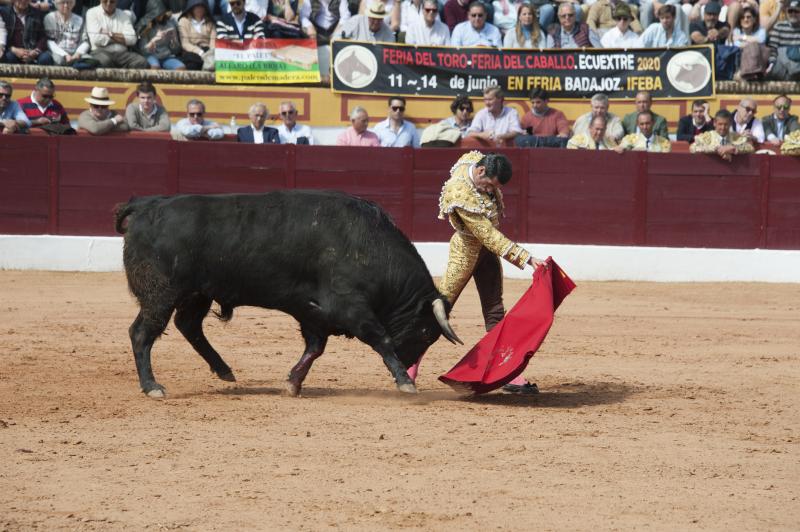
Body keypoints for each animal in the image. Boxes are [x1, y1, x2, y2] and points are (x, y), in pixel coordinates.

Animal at [114, 189, 462, 396]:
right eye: (426, 332)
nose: (411, 366)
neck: (372, 248)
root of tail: (147, 205)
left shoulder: (314, 313)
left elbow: (315, 348)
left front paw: (293, 383)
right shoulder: (349, 306)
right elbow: (381, 339)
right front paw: (405, 383)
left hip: (197, 293)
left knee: (188, 325)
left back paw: (224, 370)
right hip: (161, 293)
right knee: (142, 333)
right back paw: (152, 386)